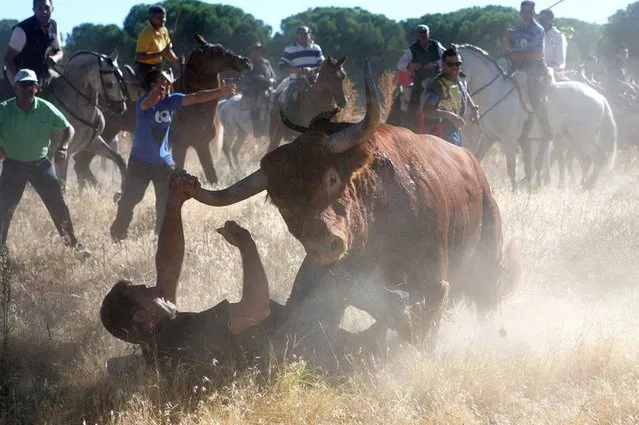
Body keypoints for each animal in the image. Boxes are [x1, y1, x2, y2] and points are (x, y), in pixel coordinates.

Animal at [76, 34, 251, 184]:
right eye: (217, 52)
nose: (246, 62)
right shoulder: (180, 145)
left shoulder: (202, 145)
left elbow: (212, 177)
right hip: (104, 133)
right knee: (80, 162)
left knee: (81, 163)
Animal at [195, 60, 520, 344]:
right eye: (280, 202)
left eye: (332, 178)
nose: (324, 245)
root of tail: (476, 170)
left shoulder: (433, 282)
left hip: (487, 263)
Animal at [458, 44, 616, 189]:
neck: (496, 92)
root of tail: (600, 97)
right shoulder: (488, 138)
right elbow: (476, 159)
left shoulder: (509, 139)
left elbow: (512, 168)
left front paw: (516, 191)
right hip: (570, 137)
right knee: (585, 161)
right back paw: (579, 185)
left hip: (583, 137)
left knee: (599, 158)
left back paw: (587, 186)